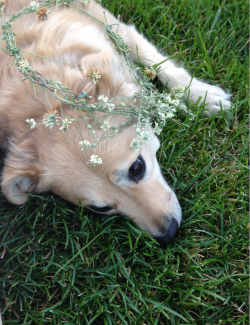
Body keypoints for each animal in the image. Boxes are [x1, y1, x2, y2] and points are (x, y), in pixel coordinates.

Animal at [0, 0, 231, 242]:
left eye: (137, 167)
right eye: (100, 208)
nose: (168, 234)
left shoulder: (112, 25)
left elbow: (157, 62)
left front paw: (203, 96)